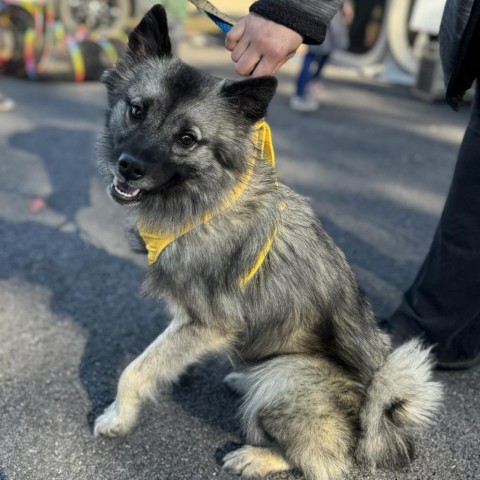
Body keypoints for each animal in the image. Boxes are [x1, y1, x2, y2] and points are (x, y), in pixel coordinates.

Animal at [94, 4, 442, 480]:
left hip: (284, 377)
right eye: (136, 110)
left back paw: (255, 455)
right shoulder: (192, 321)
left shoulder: (208, 323)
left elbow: (134, 370)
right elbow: (158, 354)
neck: (206, 200)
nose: (129, 167)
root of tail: (373, 420)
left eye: (187, 139)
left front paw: (118, 416)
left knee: (321, 461)